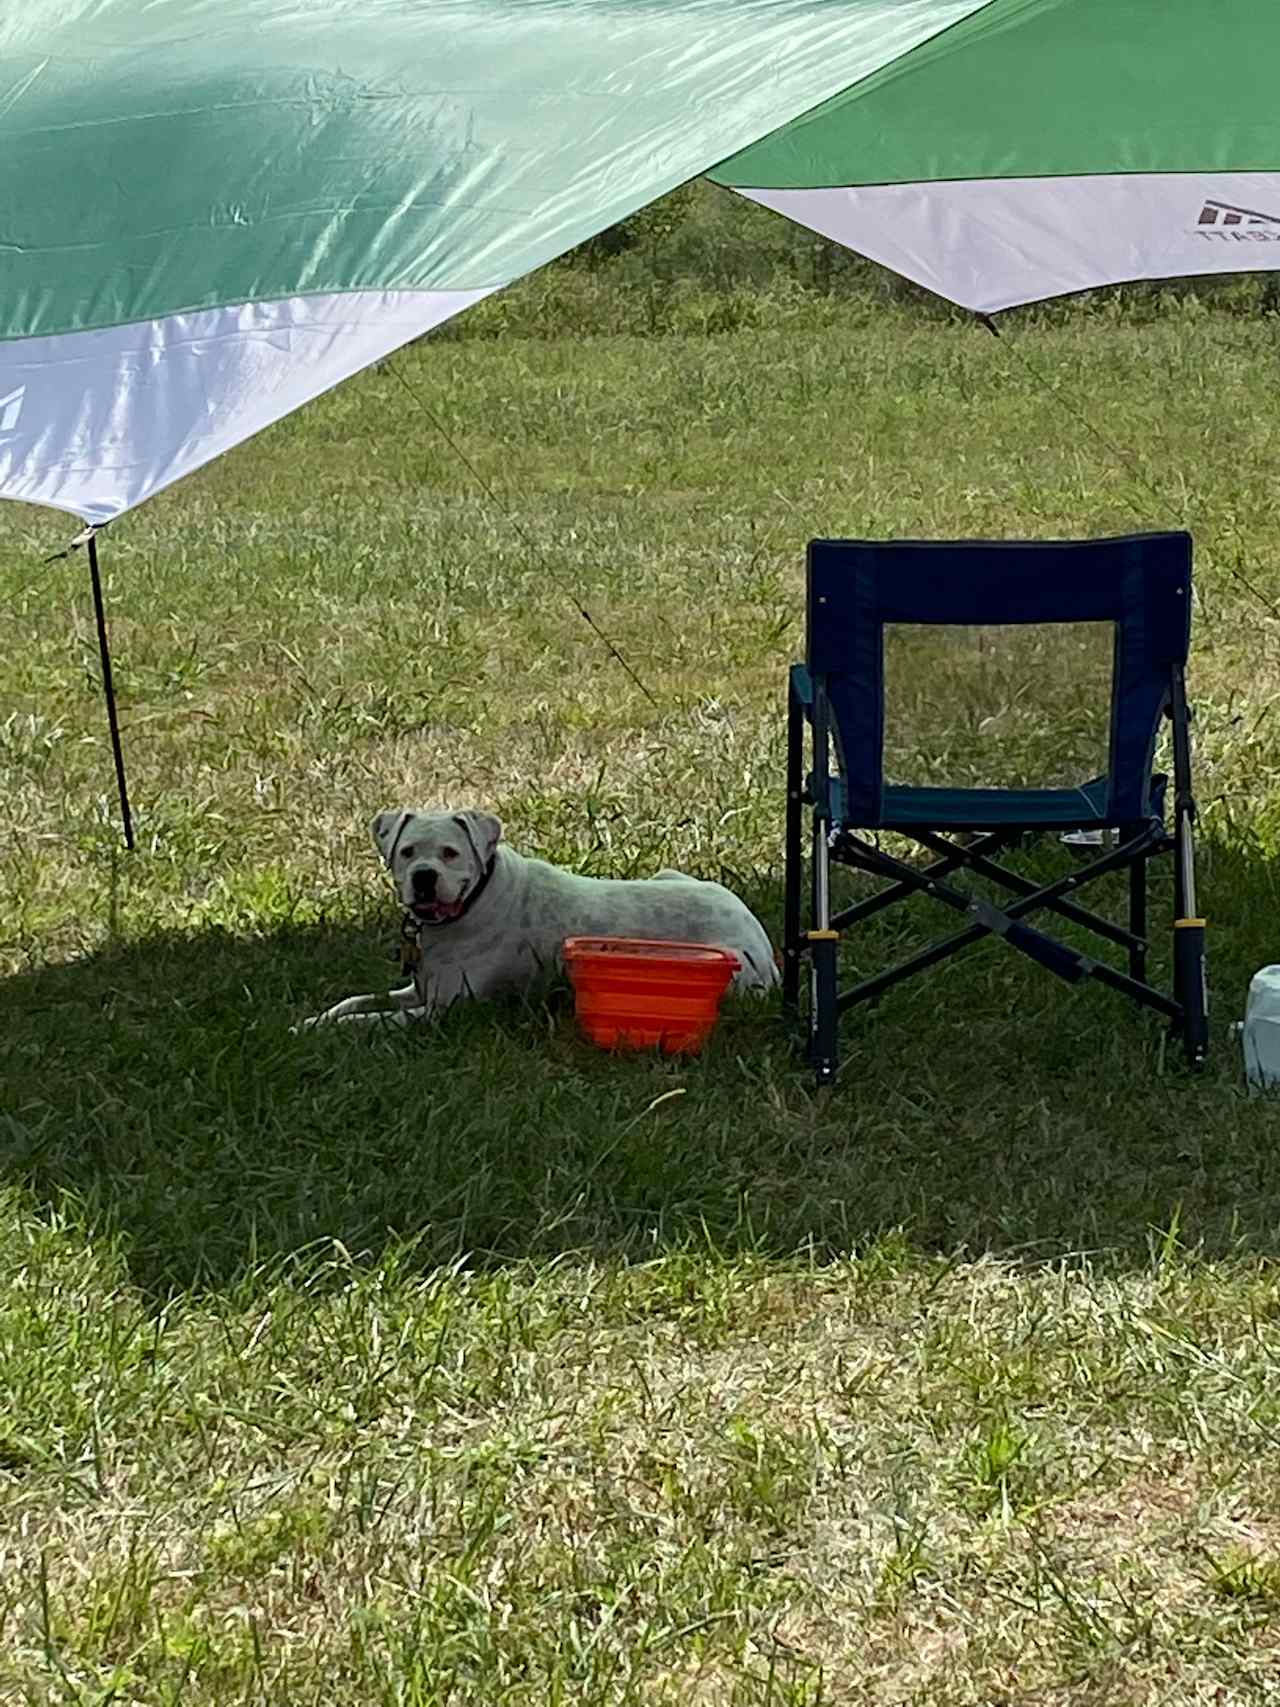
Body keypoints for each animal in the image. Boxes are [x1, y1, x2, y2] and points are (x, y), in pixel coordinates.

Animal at [305, 802, 781, 1024]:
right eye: (406, 852)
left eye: (450, 853)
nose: (423, 877)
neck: (475, 900)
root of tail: (760, 941)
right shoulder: (417, 988)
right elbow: (355, 1001)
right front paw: (315, 1019)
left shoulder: (442, 1011)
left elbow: (370, 1020)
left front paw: (325, 1030)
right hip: (671, 875)